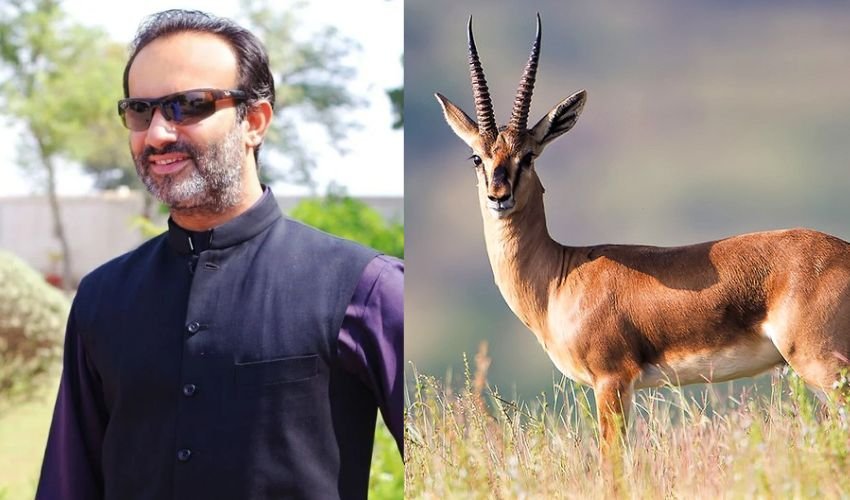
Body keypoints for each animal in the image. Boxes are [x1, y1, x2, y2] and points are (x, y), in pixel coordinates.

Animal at [435, 14, 850, 460]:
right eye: (477, 157)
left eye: (528, 156)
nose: (499, 196)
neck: (560, 276)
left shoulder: (612, 379)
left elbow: (613, 461)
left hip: (823, 365)